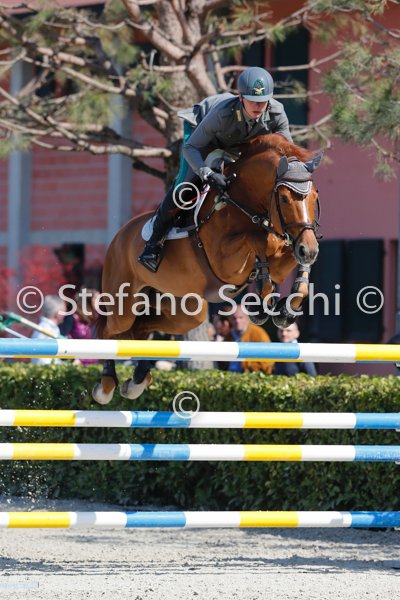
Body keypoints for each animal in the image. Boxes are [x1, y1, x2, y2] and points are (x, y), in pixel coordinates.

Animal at [92, 133, 322, 405]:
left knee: (141, 329)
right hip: (124, 302)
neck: (245, 203)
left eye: (315, 197)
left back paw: (137, 380)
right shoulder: (224, 259)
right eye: (285, 198)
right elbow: (258, 241)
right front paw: (261, 304)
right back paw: (106, 386)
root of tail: (119, 236)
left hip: (186, 311)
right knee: (109, 329)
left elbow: (285, 259)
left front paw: (286, 308)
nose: (309, 249)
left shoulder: (282, 255)